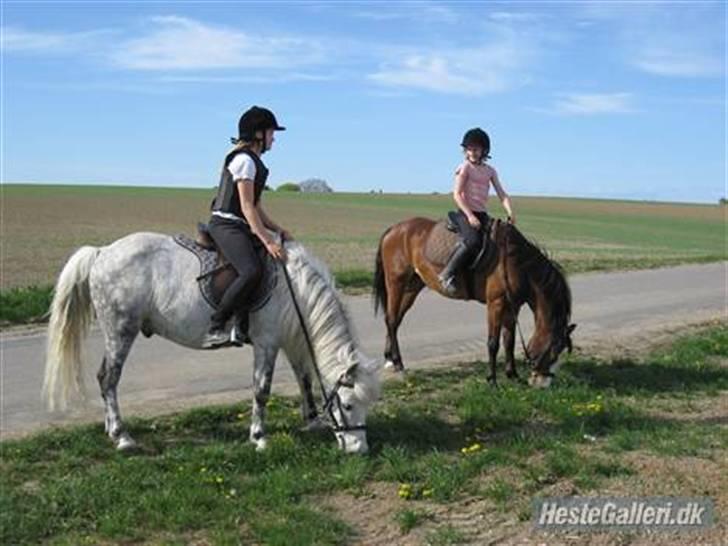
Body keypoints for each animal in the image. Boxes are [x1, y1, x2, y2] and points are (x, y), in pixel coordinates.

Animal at [376, 215, 576, 384]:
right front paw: (492, 380)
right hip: (396, 283)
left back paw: (389, 358)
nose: (543, 383)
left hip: (412, 286)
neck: (516, 263)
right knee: (391, 319)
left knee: (395, 320)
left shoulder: (513, 306)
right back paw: (398, 362)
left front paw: (512, 375)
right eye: (553, 350)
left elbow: (509, 340)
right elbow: (493, 343)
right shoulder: (496, 303)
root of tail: (394, 229)